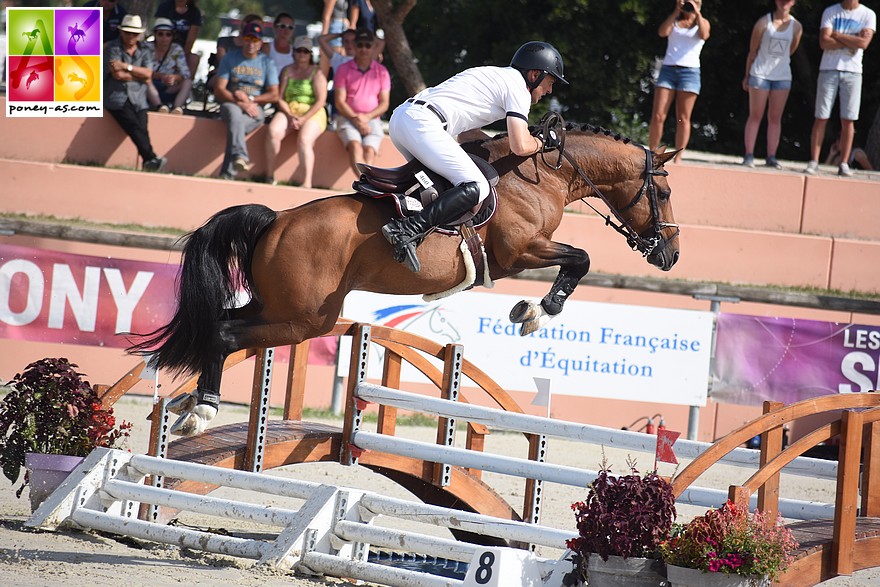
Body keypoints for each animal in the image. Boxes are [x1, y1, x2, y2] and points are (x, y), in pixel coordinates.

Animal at [131, 121, 680, 434]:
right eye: (666, 192)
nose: (671, 255)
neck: (543, 173)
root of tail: (276, 219)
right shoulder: (520, 250)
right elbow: (580, 259)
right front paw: (536, 313)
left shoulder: (523, 254)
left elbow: (576, 261)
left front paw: (532, 309)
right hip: (304, 318)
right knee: (226, 333)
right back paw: (202, 409)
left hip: (280, 307)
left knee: (221, 325)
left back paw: (188, 401)